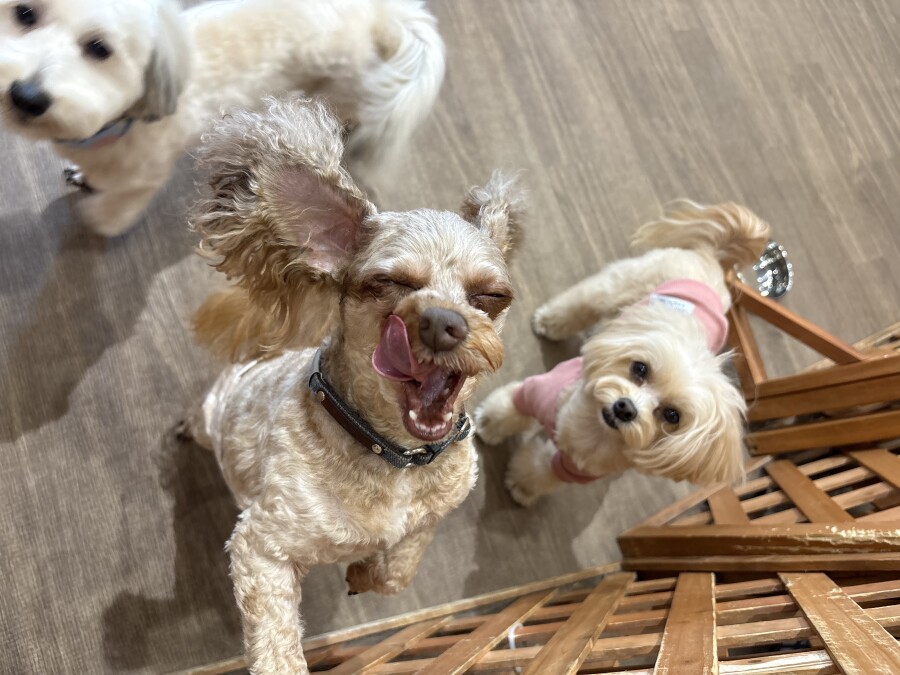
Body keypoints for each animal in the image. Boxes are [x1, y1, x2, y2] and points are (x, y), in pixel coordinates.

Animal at [0, 0, 444, 237]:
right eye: (24, 13)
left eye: (99, 48)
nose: (26, 96)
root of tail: (378, 11)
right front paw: (83, 177)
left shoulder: (145, 179)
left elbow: (117, 208)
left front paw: (101, 220)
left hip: (342, 83)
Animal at [179, 96, 524, 673]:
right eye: (390, 282)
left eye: (491, 295)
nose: (443, 323)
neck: (395, 457)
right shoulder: (262, 549)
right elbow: (277, 648)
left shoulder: (436, 509)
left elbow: (397, 569)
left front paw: (365, 571)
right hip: (213, 416)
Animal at [475, 201, 770, 506]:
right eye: (640, 368)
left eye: (672, 415)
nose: (625, 407)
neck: (591, 426)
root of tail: (712, 260)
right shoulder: (535, 390)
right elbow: (510, 408)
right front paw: (490, 423)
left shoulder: (573, 469)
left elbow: (541, 471)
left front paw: (522, 484)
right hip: (618, 286)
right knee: (582, 303)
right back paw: (549, 322)